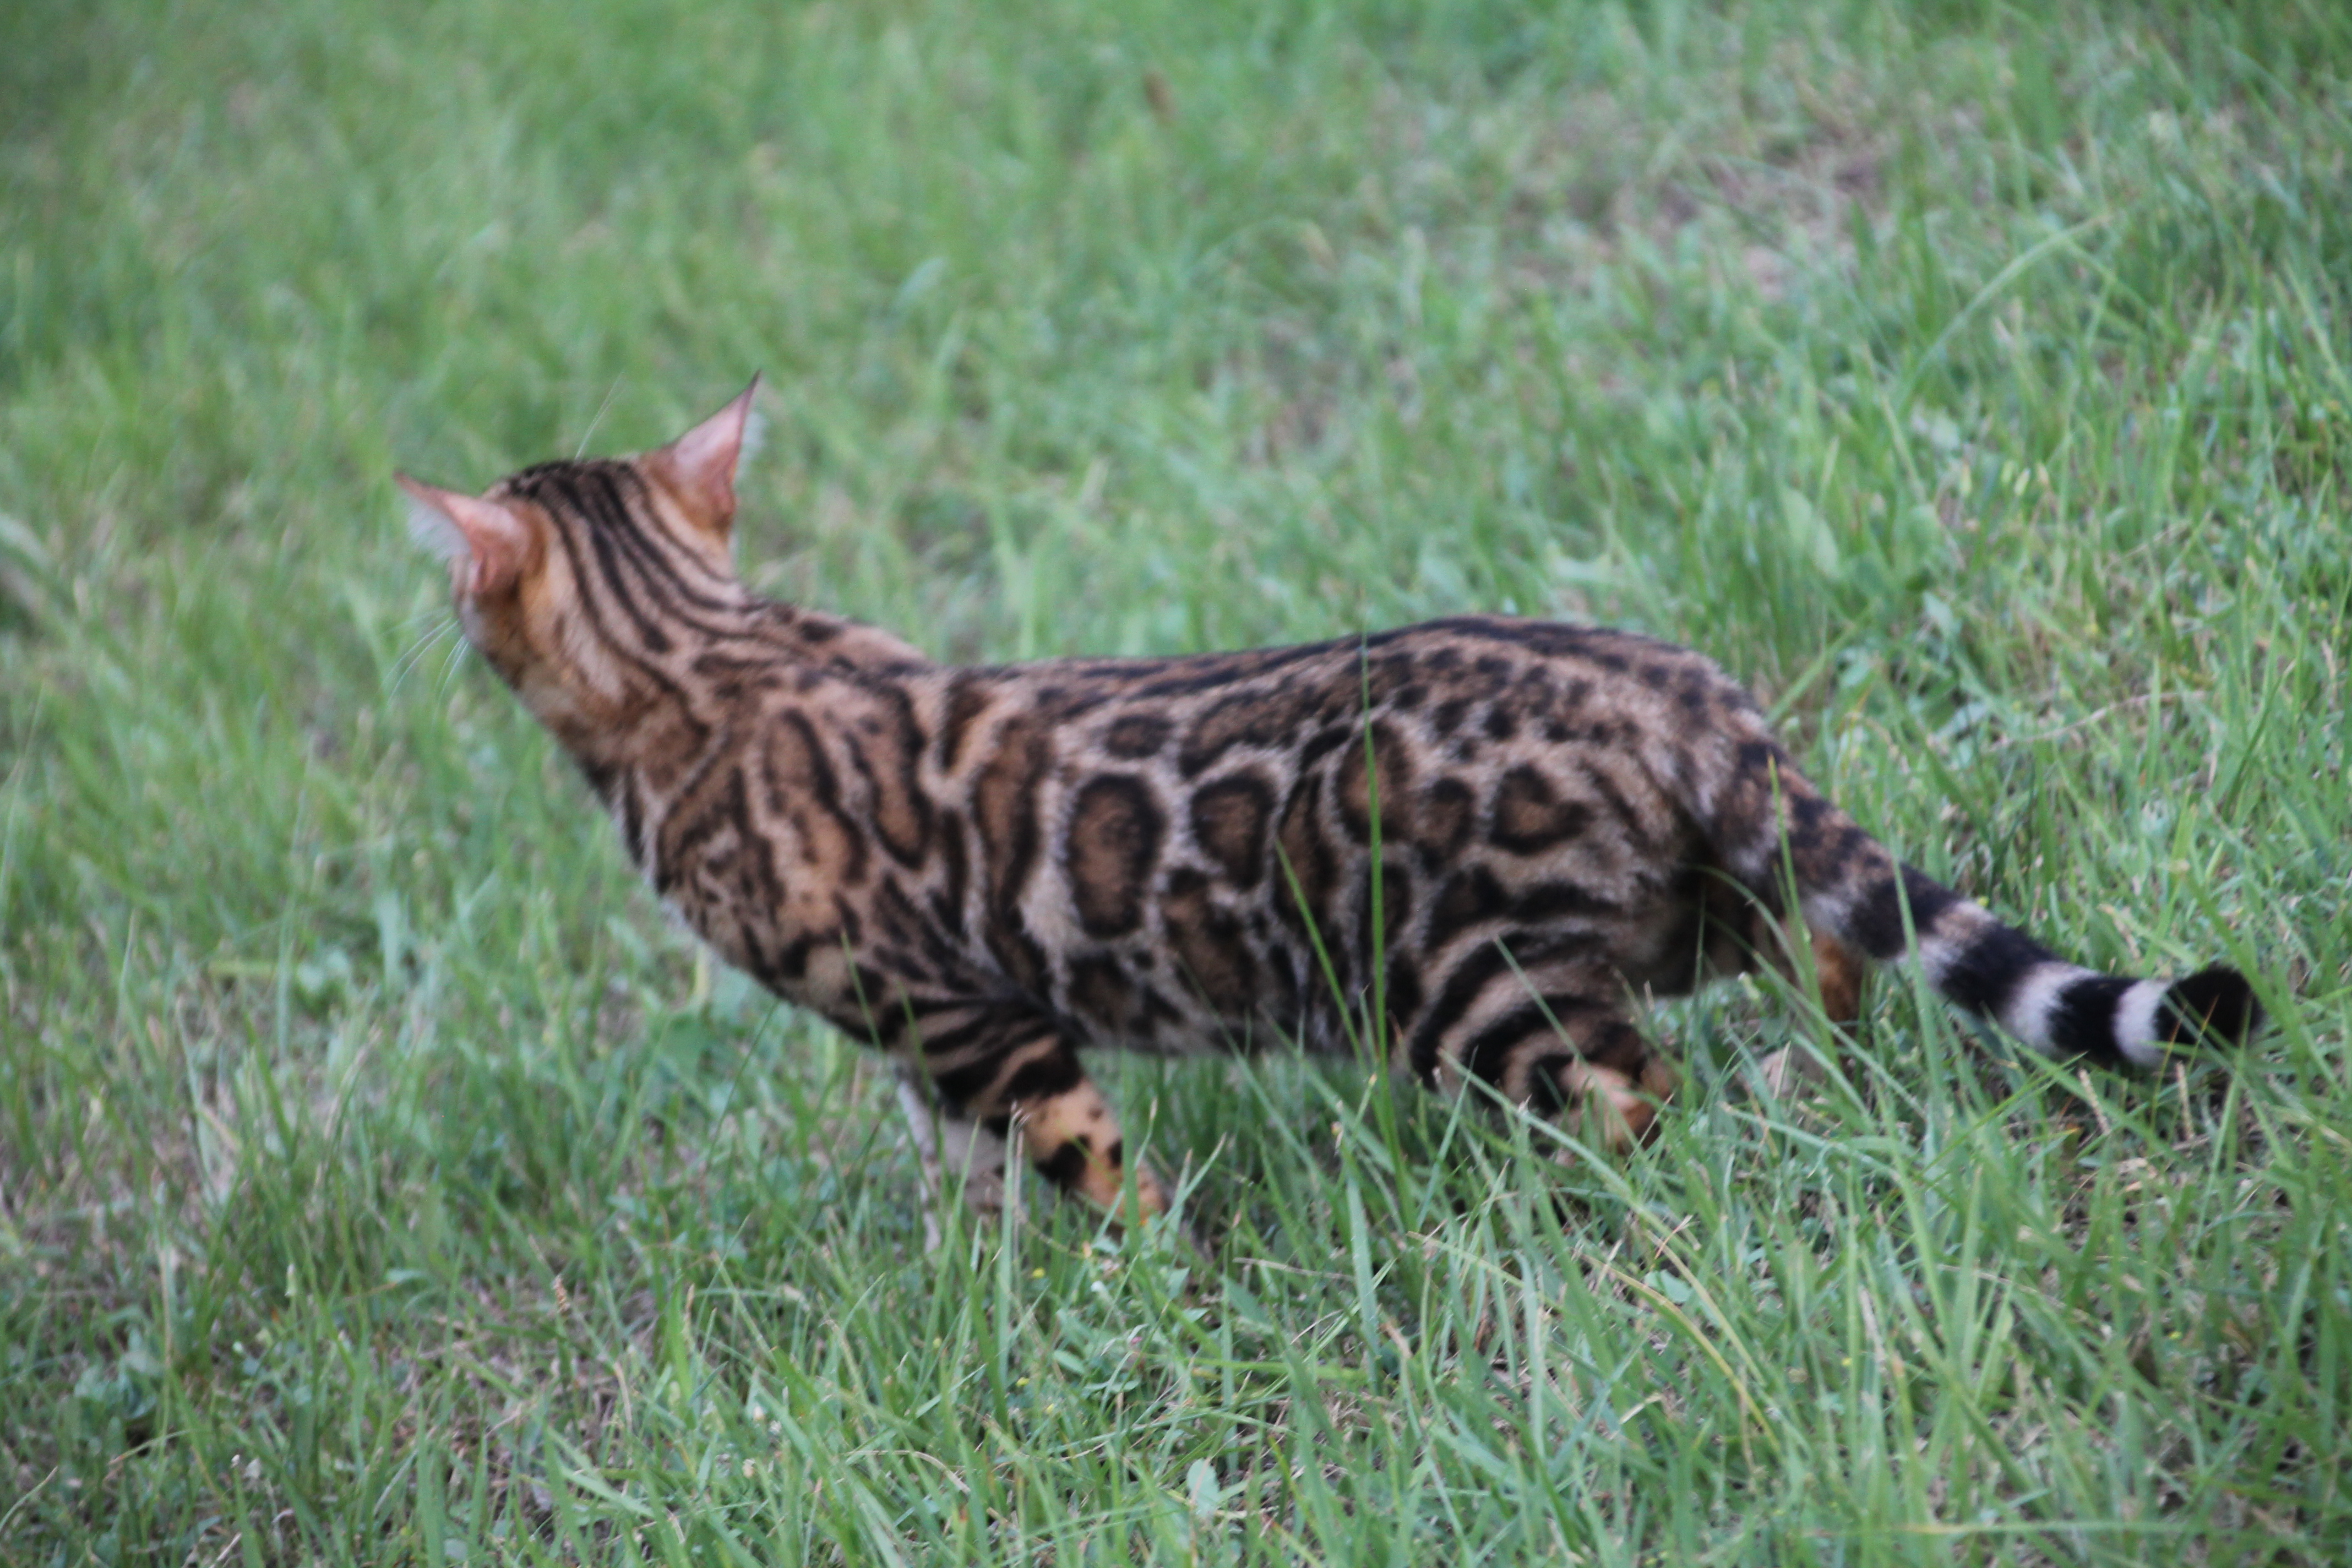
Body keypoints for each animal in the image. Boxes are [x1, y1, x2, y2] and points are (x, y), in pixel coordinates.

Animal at [400, 380, 2258, 1222]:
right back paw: (1828, 1069)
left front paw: (1125, 1278)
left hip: (1472, 987)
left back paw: (1597, 1203)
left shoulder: (966, 1016)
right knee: (1829, 948)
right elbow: (968, 1172)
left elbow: (1082, 1165)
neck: (708, 655)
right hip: (1697, 895)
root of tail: (1673, 687)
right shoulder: (940, 1042)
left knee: (1642, 1093)